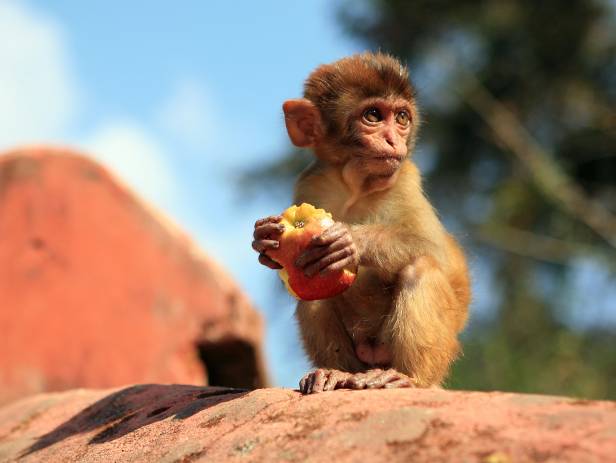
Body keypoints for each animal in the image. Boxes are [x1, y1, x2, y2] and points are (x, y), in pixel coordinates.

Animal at [253, 52, 470, 394]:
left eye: (401, 118)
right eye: (373, 115)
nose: (393, 139)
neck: (356, 186)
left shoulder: (406, 179)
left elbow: (432, 248)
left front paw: (352, 241)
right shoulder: (312, 182)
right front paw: (263, 241)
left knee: (421, 268)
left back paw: (407, 377)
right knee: (312, 293)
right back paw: (334, 373)